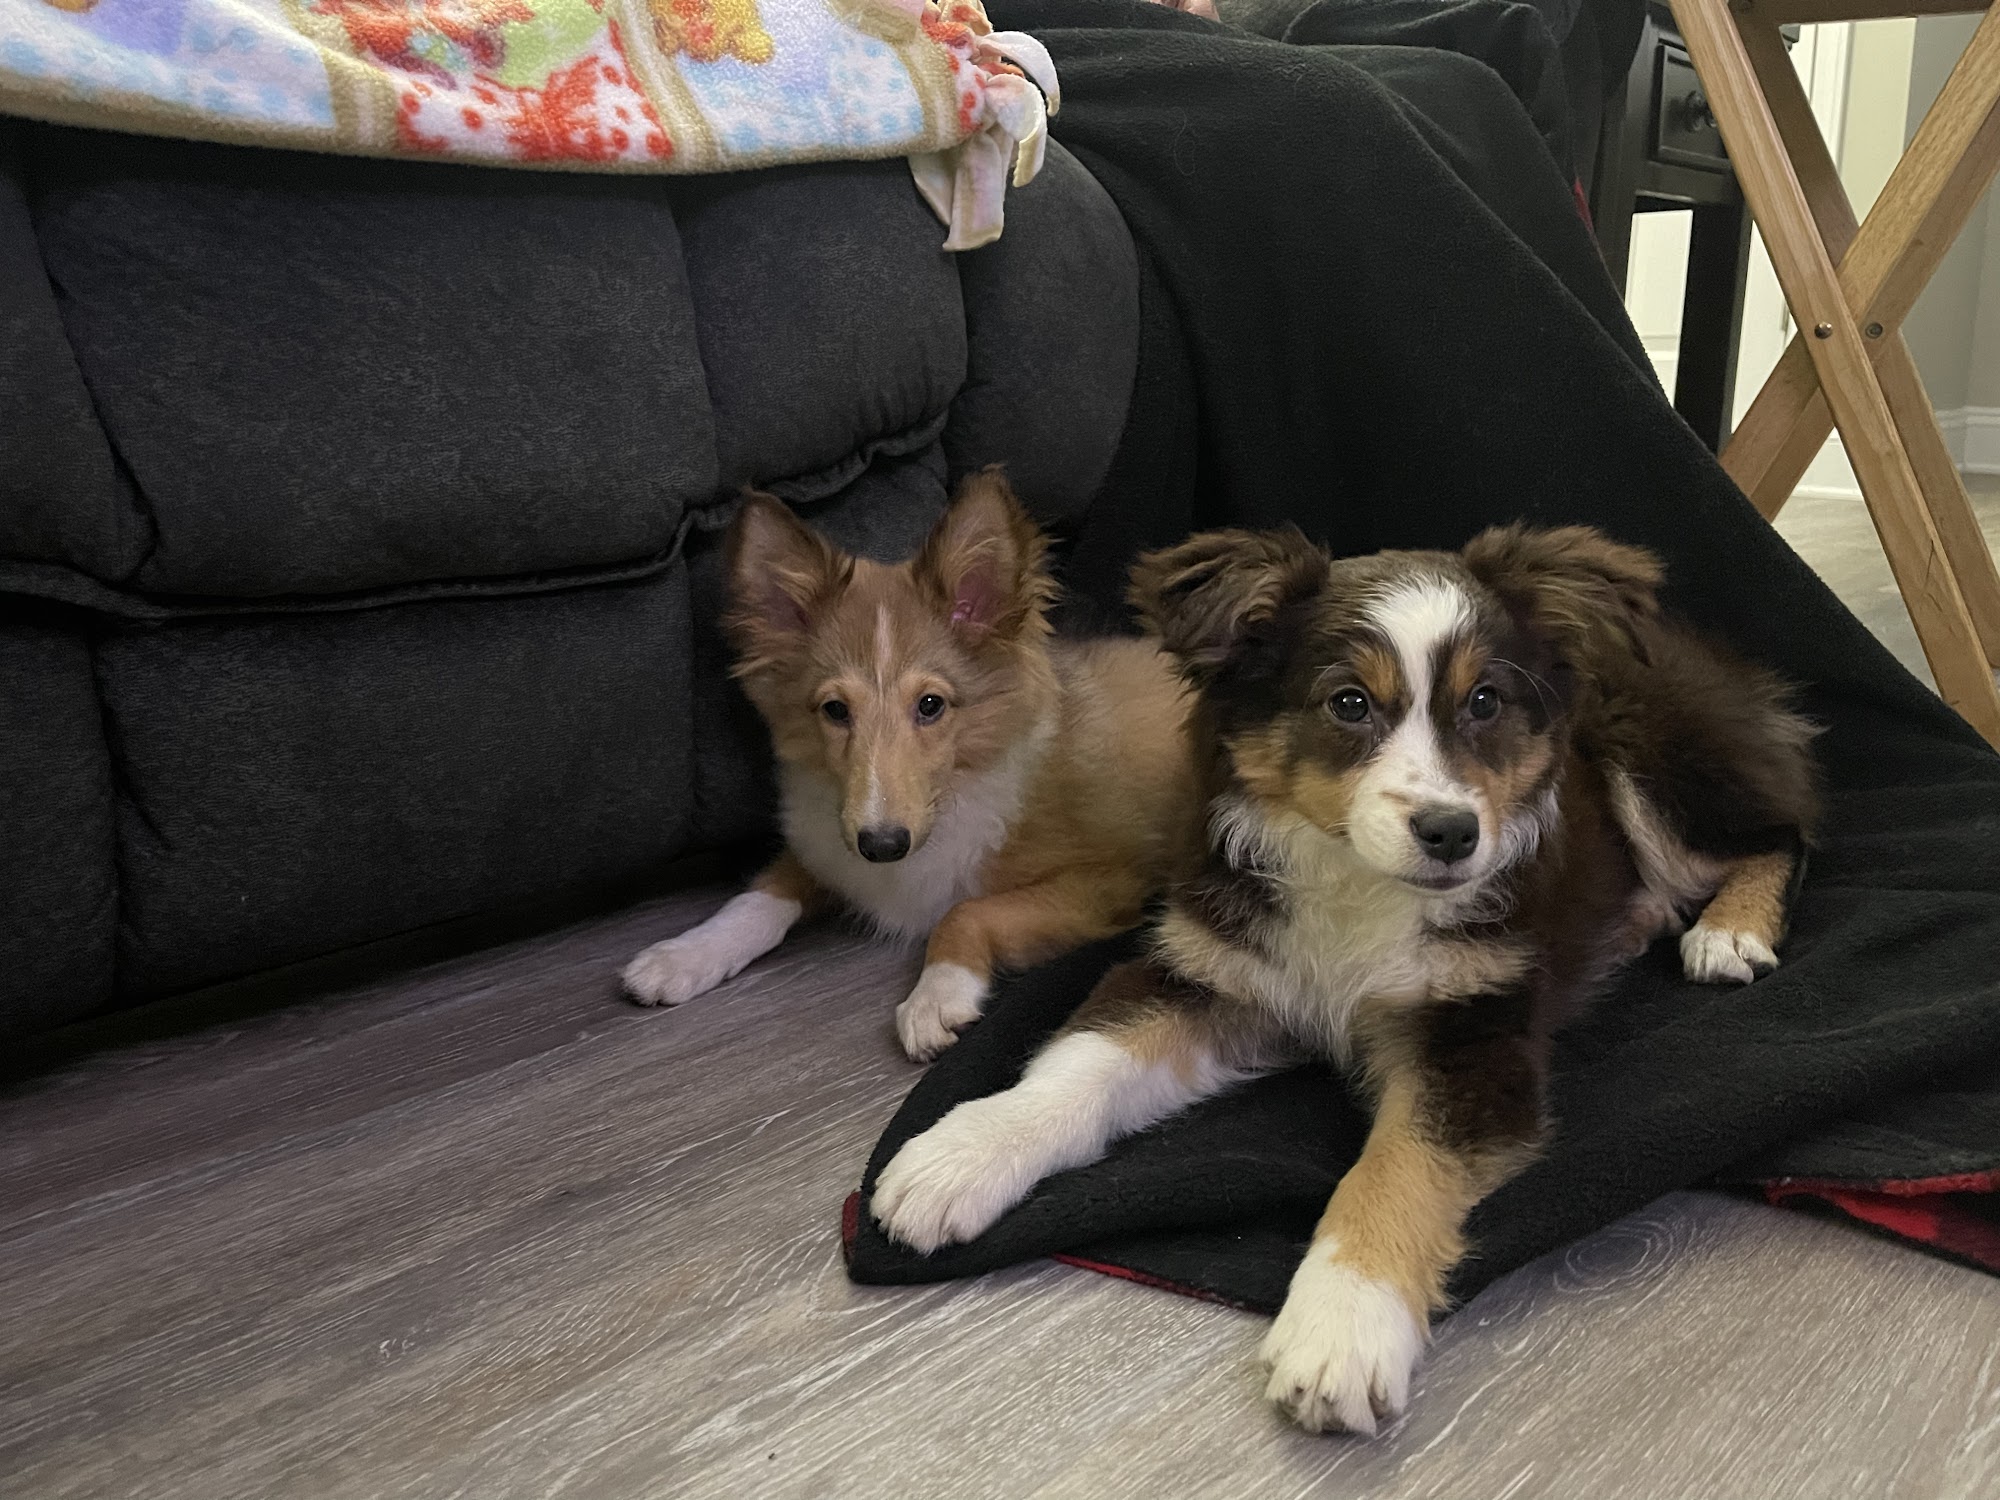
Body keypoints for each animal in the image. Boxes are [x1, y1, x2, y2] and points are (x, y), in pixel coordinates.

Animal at [622, 470, 1199, 1062]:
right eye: (835, 710)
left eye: (930, 705)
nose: (883, 846)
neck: (954, 790)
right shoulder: (830, 844)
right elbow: (761, 893)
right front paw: (684, 954)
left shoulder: (1109, 882)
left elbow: (964, 911)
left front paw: (935, 996)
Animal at [870, 522, 1819, 1432]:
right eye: (1349, 703)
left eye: (1485, 701)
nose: (1453, 834)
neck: (1357, 881)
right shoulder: (1216, 971)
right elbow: (1085, 1060)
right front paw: (959, 1157)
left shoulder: (1473, 1034)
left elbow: (1396, 1166)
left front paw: (1341, 1333)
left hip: (1653, 756)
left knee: (1784, 833)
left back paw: (1727, 931)